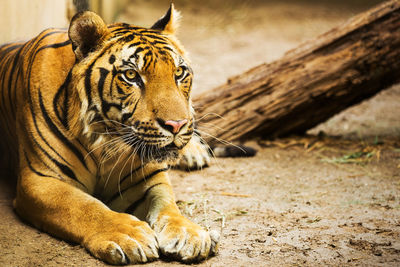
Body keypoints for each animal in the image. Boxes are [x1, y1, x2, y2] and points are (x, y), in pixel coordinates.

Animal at [0, 4, 219, 266]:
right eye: (131, 76)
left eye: (179, 72)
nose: (176, 125)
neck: (106, 141)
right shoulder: (40, 180)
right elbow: (83, 207)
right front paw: (129, 234)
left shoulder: (145, 176)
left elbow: (167, 203)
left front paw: (188, 232)